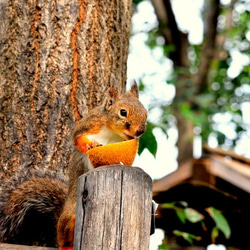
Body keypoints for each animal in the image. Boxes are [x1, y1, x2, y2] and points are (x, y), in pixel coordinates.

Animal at [0, 81, 146, 248]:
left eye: (145, 112)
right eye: (123, 112)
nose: (140, 131)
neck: (113, 132)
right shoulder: (89, 123)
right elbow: (77, 138)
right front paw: (91, 144)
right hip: (70, 216)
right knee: (64, 239)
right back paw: (66, 246)